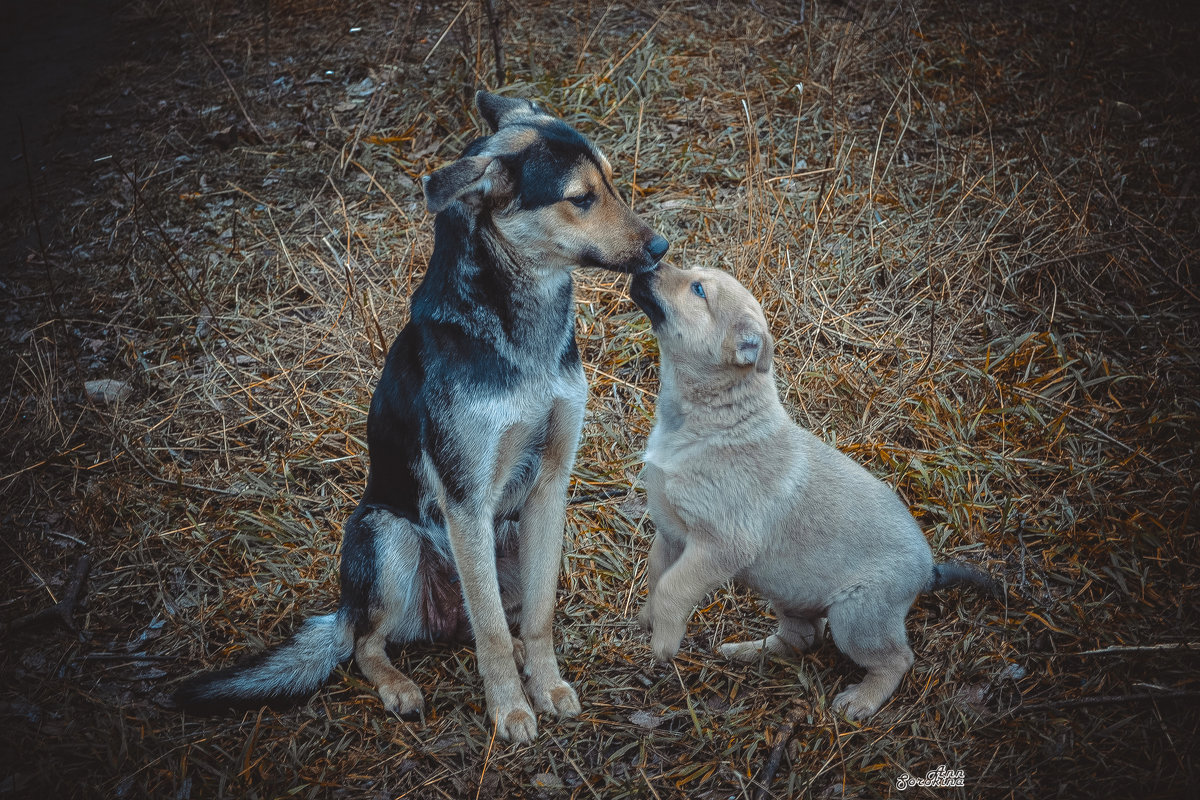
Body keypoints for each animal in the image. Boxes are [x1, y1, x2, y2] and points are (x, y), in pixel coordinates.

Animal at [175, 90, 672, 743]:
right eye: (580, 198)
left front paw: (547, 687)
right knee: (370, 642)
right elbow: (490, 633)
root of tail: (349, 607)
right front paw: (510, 710)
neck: (521, 334)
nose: (662, 249)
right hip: (388, 538)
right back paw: (398, 686)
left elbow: (537, 616)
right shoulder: (465, 498)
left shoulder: (549, 489)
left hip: (504, 541)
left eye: (611, 182)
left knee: (489, 620)